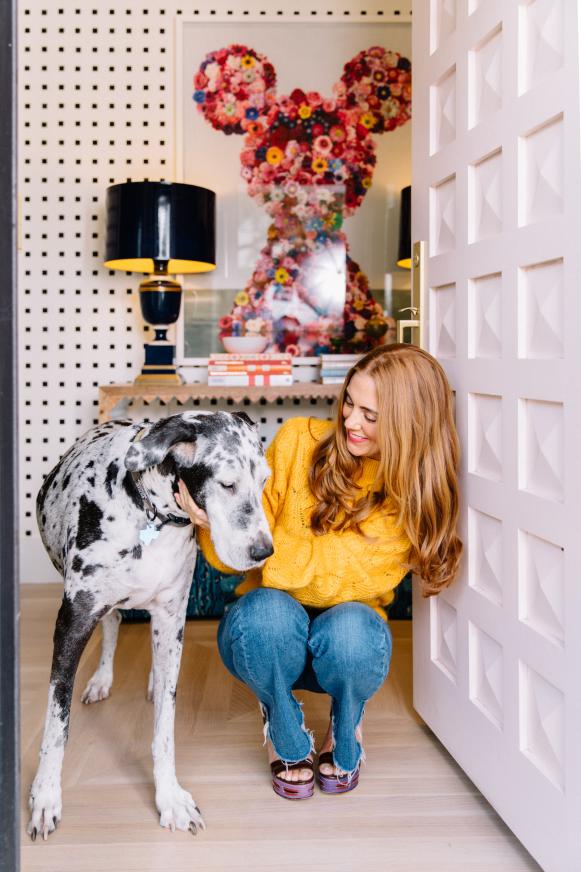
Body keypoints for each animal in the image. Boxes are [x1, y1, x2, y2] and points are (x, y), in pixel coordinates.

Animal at [27, 412, 272, 840]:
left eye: (263, 482)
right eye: (227, 484)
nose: (264, 551)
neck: (150, 513)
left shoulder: (172, 618)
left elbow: (165, 728)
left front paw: (170, 796)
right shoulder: (72, 622)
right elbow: (57, 727)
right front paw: (45, 796)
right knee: (112, 623)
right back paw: (102, 678)